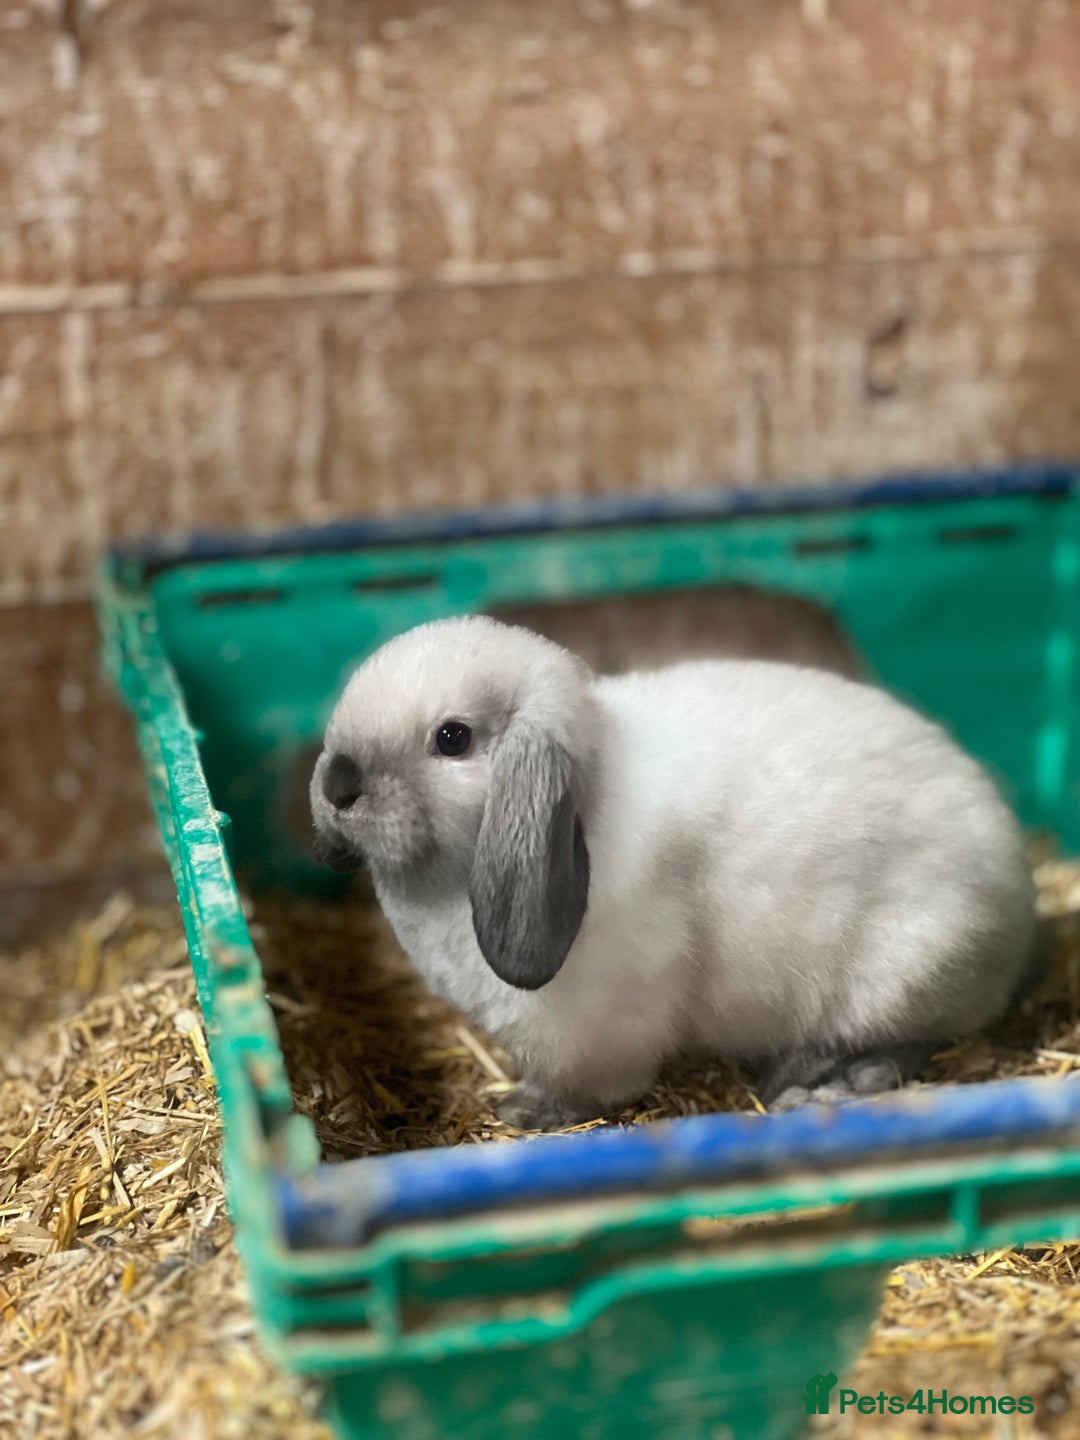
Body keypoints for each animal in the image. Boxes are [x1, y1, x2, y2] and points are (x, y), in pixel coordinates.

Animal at [309, 615, 1038, 1125]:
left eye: (453, 738)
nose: (338, 782)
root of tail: (1022, 907)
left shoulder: (591, 1032)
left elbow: (592, 1087)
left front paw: (525, 1110)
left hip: (907, 975)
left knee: (919, 1039)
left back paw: (820, 1081)